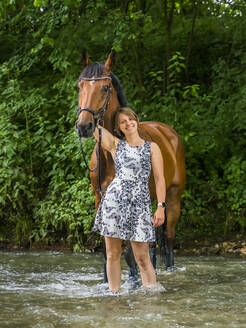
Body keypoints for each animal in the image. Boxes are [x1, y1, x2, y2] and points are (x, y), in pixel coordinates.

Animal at [76, 50, 185, 276]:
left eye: (105, 87)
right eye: (80, 86)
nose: (84, 126)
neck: (109, 155)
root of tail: (169, 132)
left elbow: (128, 250)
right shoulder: (100, 200)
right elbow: (108, 250)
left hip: (173, 199)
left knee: (169, 242)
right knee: (152, 245)